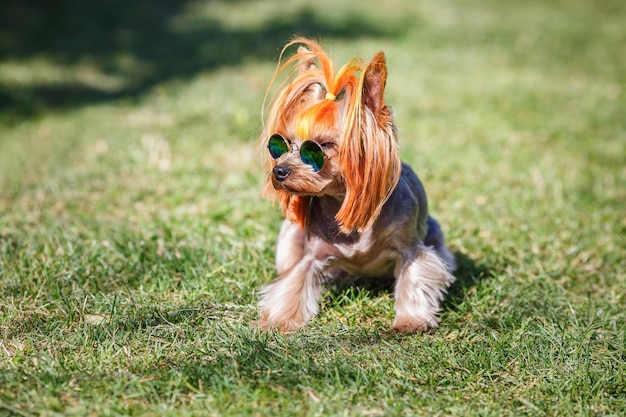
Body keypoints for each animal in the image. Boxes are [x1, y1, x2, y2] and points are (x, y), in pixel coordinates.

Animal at [254, 37, 454, 334]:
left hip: (436, 233)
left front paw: (411, 321)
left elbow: (415, 278)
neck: (341, 198)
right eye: (282, 144)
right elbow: (295, 283)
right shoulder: (311, 255)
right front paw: (280, 321)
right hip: (289, 235)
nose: (279, 171)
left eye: (320, 147)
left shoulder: (411, 249)